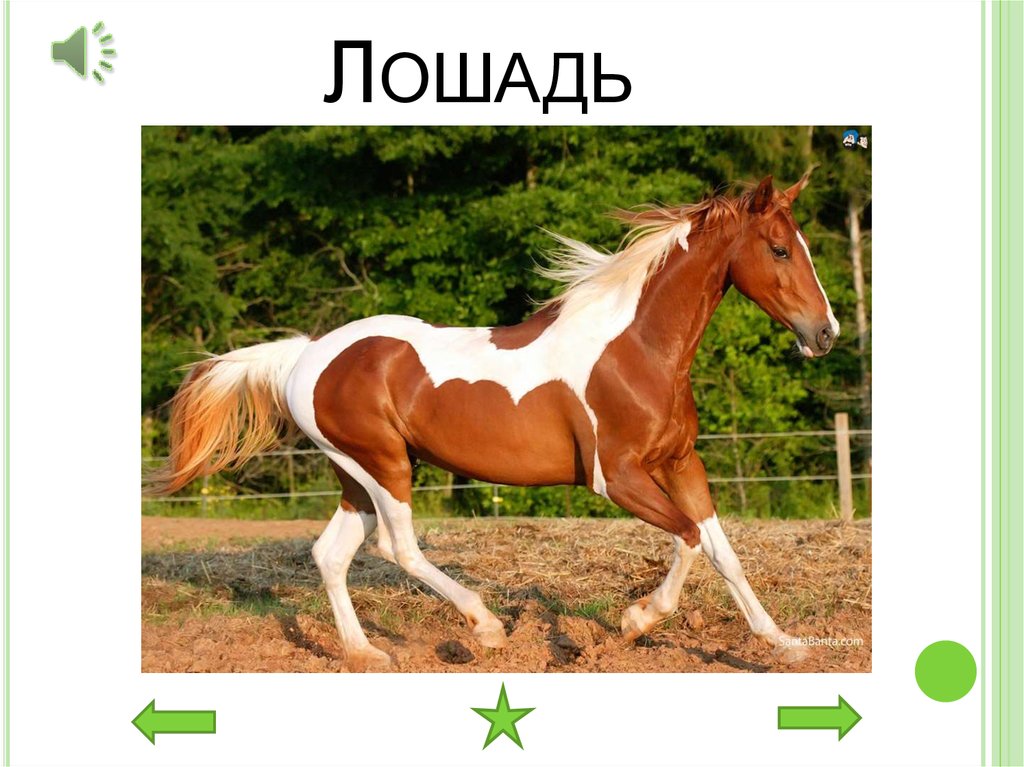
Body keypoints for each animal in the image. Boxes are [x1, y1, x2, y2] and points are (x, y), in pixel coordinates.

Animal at [147, 174, 839, 671]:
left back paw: (366, 652)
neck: (636, 349)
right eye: (779, 248)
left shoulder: (679, 462)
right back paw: (486, 627)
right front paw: (635, 620)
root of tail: (306, 353)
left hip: (356, 475)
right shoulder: (616, 477)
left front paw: (785, 646)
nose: (825, 334)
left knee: (331, 554)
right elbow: (689, 539)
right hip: (384, 465)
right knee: (397, 548)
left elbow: (723, 552)